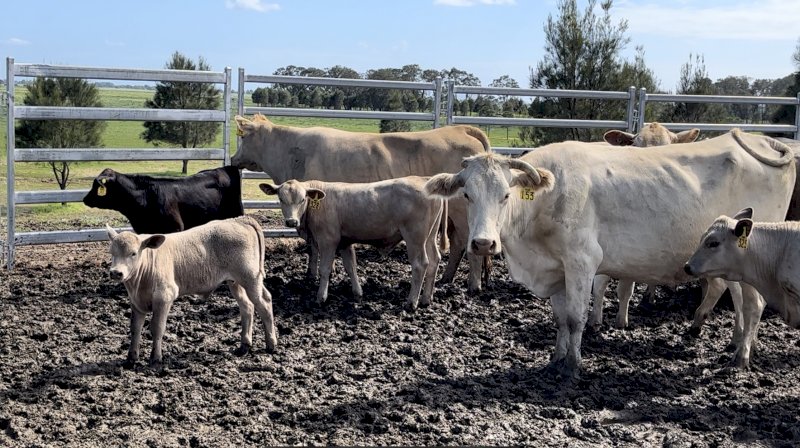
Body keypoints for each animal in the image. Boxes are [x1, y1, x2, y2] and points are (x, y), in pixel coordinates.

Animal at [105, 216, 277, 368]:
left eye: (133, 253)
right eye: (111, 252)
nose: (116, 272)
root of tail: (238, 220)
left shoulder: (164, 297)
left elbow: (157, 328)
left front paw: (155, 358)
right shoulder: (136, 302)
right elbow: (135, 328)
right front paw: (131, 358)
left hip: (250, 278)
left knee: (264, 303)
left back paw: (271, 344)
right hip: (235, 282)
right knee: (247, 306)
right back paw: (244, 345)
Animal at [232, 114, 489, 293]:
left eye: (243, 137)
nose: (233, 159)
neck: (292, 152)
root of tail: (458, 129)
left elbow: (317, 249)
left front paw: (317, 275)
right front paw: (312, 274)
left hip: (462, 212)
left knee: (467, 244)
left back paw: (473, 285)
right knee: (455, 244)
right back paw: (447, 278)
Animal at [259, 176, 443, 310]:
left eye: (303, 199)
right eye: (281, 198)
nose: (291, 221)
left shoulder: (328, 241)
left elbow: (325, 269)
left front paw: (321, 297)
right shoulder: (344, 243)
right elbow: (350, 267)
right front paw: (357, 292)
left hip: (415, 238)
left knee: (420, 264)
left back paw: (411, 302)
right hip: (430, 237)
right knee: (434, 260)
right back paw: (426, 299)